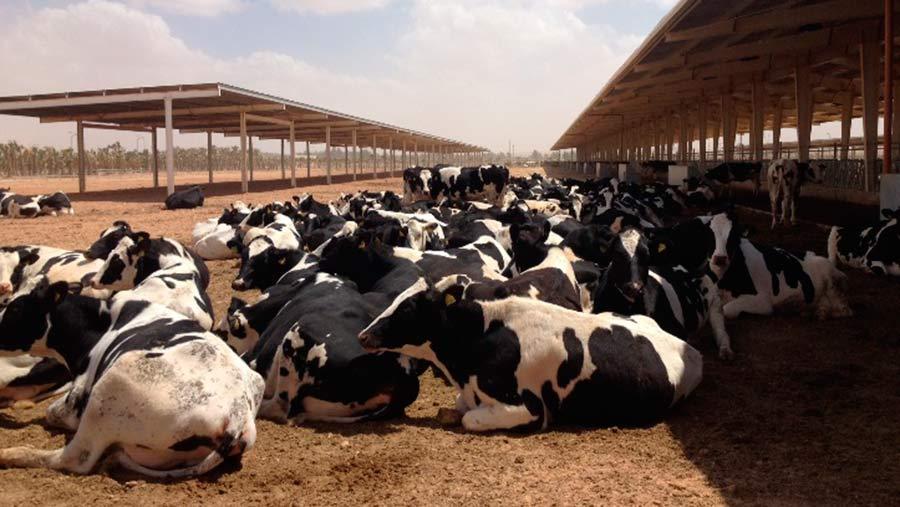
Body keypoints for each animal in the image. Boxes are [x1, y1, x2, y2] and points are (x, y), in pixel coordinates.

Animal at [0, 280, 264, 478]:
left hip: (109, 390)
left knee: (75, 458)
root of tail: (237, 418)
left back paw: (9, 454)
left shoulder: (81, 389)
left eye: (15, 309)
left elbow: (52, 412)